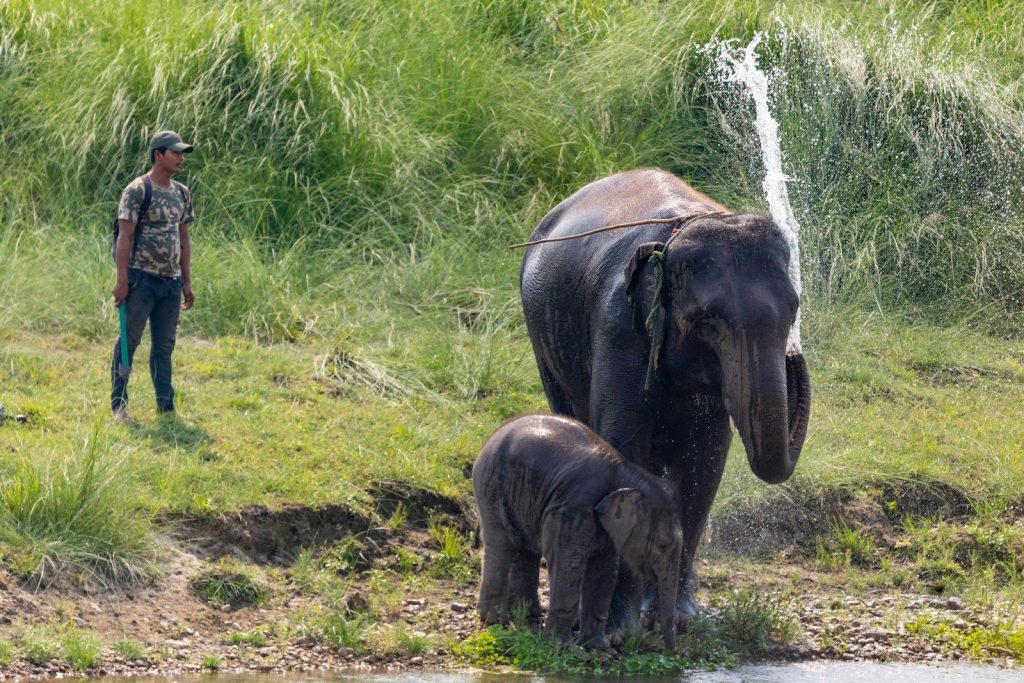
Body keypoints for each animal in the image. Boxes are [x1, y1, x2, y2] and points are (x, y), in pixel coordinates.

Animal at [472, 414, 684, 651]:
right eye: (662, 545)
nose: (671, 652)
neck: (626, 473)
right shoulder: (574, 505)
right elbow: (569, 563)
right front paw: (563, 647)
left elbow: (604, 570)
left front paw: (599, 647)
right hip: (491, 483)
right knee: (502, 544)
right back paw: (496, 620)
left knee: (524, 549)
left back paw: (527, 616)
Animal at [519, 168, 811, 630]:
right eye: (708, 324)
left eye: (792, 313)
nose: (794, 355)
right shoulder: (618, 328)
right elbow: (624, 448)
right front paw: (621, 629)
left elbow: (705, 462)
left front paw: (678, 618)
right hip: (542, 341)